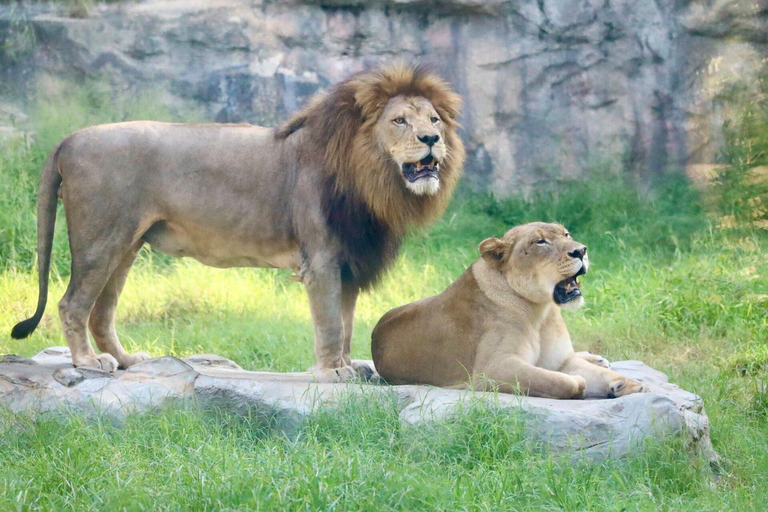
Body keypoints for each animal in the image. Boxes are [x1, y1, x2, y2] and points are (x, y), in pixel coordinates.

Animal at [12, 63, 464, 380]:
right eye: (399, 121)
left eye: (434, 120)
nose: (431, 140)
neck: (373, 177)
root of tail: (69, 139)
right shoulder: (321, 259)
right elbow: (331, 323)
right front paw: (333, 371)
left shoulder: (349, 262)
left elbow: (347, 321)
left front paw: (349, 366)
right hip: (100, 240)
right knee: (72, 304)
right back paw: (88, 362)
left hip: (126, 245)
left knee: (101, 313)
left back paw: (126, 360)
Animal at [372, 222, 648, 398]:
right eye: (540, 241)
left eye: (567, 233)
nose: (581, 250)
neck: (541, 311)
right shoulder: (492, 369)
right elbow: (555, 380)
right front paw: (580, 383)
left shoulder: (561, 360)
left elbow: (591, 373)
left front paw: (633, 385)